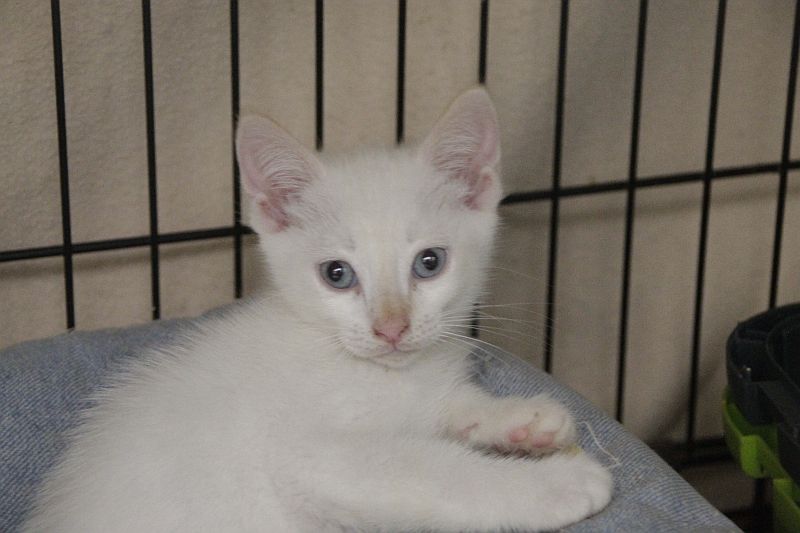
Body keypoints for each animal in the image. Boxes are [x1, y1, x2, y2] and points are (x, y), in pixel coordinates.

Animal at [23, 88, 612, 532]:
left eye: (429, 263)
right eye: (337, 274)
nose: (391, 328)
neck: (381, 374)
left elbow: (443, 410)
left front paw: (522, 419)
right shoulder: (311, 456)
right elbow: (434, 470)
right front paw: (560, 483)